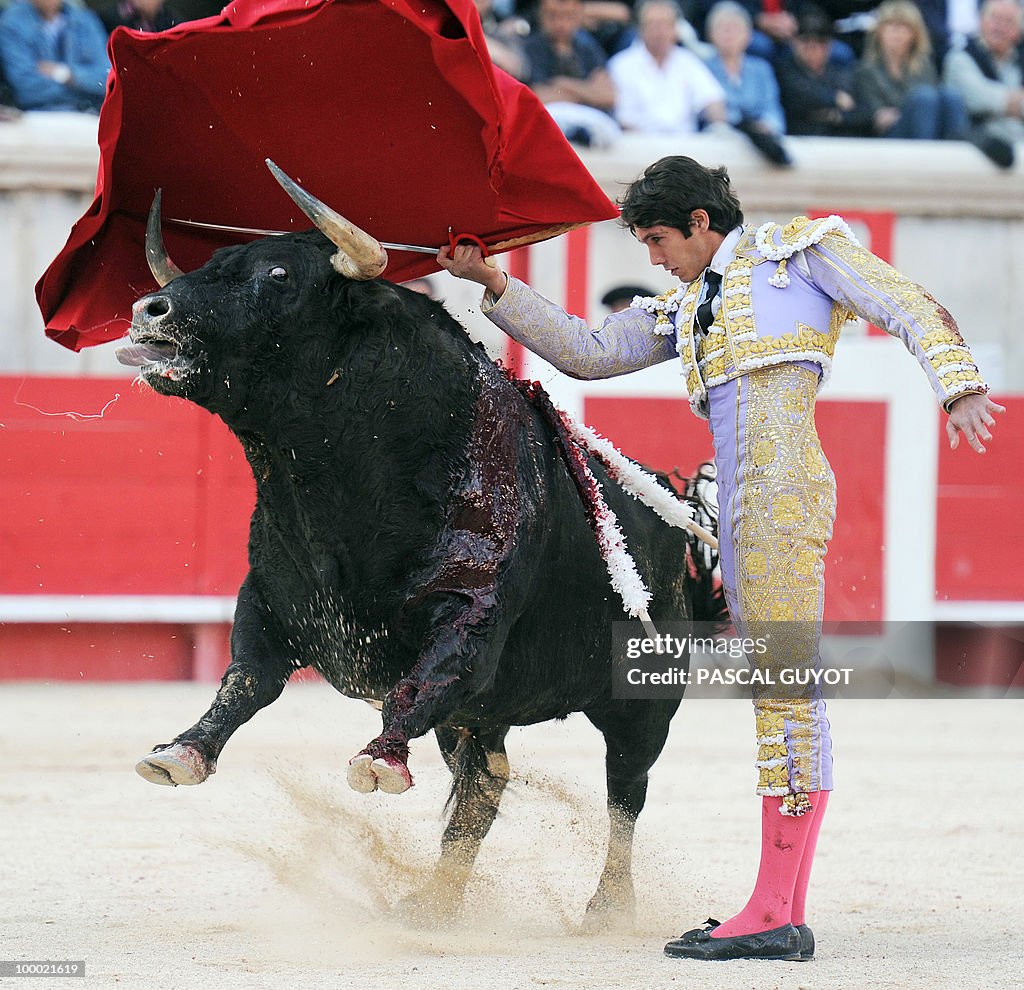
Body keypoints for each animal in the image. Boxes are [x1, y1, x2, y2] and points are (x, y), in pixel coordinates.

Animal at [121, 224, 720, 929]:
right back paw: (436, 902)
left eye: (278, 274)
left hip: (643, 696)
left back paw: (607, 908)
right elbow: (245, 680)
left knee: (624, 792)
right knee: (484, 784)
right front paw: (181, 752)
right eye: (215, 260)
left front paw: (379, 760)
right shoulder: (268, 600)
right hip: (485, 715)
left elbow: (422, 680)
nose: (149, 310)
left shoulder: (470, 615)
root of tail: (676, 513)